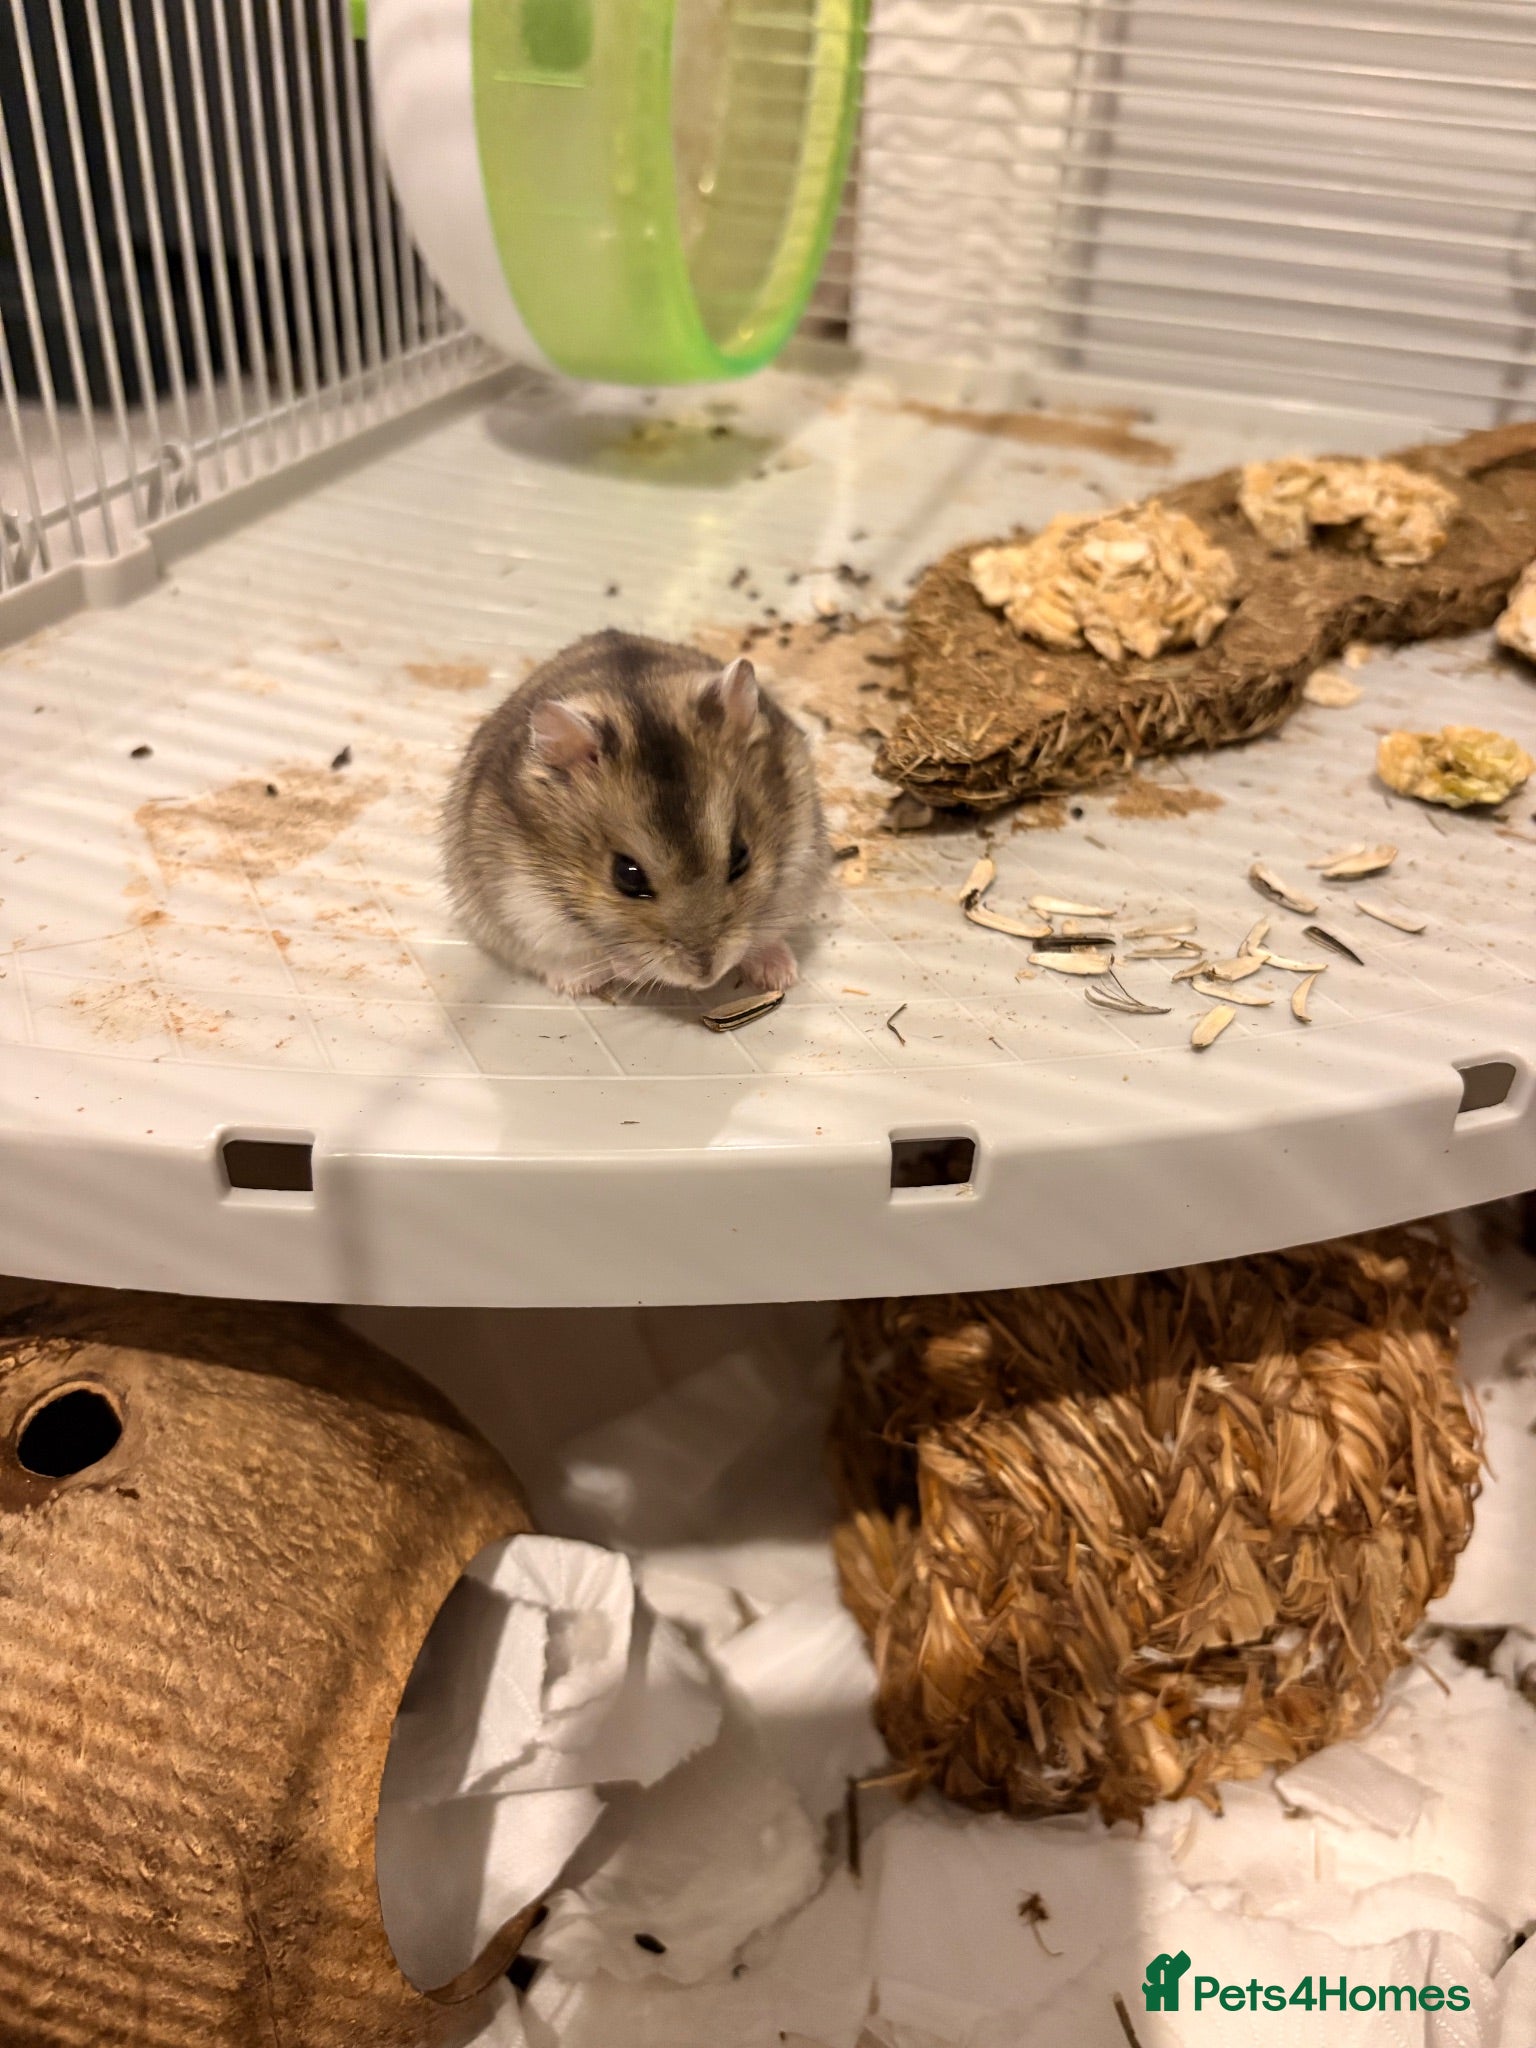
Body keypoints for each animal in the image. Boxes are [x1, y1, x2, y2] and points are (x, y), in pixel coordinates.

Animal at [443, 630, 828, 997]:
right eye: (627, 876)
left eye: (741, 857)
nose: (705, 976)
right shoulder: (523, 902)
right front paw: (628, 969)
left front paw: (779, 974)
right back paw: (579, 984)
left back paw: (779, 972)